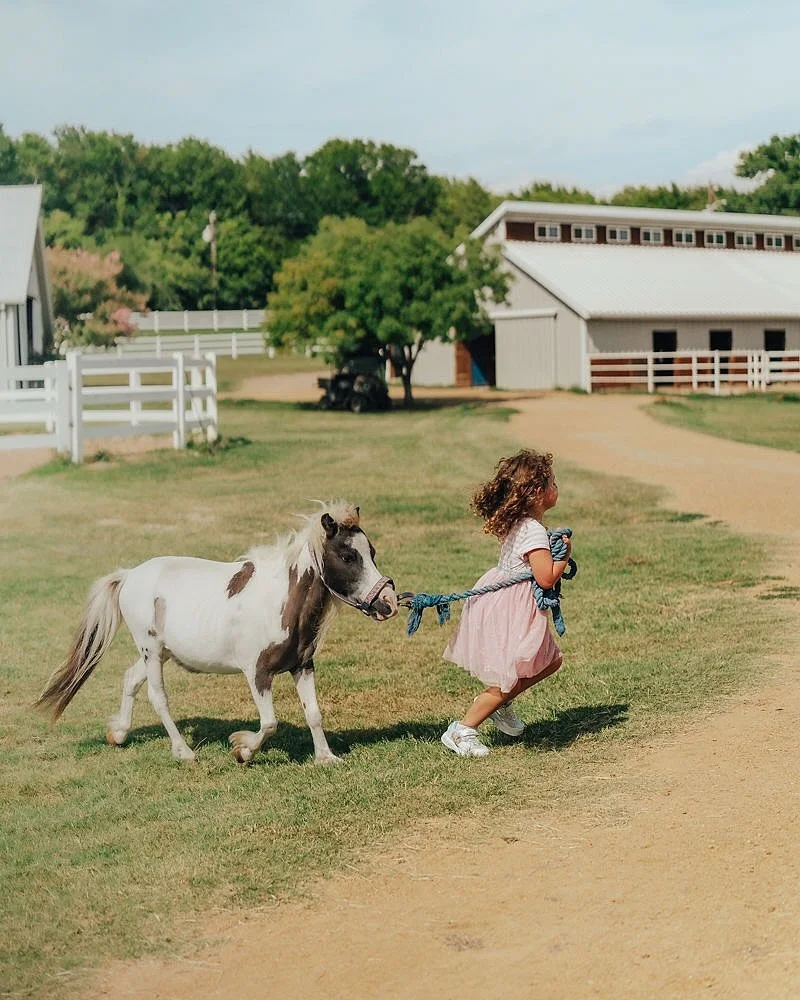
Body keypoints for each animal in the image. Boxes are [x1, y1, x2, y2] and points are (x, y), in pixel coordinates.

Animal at [36, 501, 398, 764]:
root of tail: (128, 576)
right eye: (348, 556)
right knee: (157, 697)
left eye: (372, 552)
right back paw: (183, 752)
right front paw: (242, 749)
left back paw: (119, 734)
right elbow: (269, 723)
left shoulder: (302, 666)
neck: (279, 601)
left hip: (161, 652)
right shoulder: (257, 673)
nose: (389, 603)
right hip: (150, 649)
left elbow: (314, 714)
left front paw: (325, 757)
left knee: (130, 680)